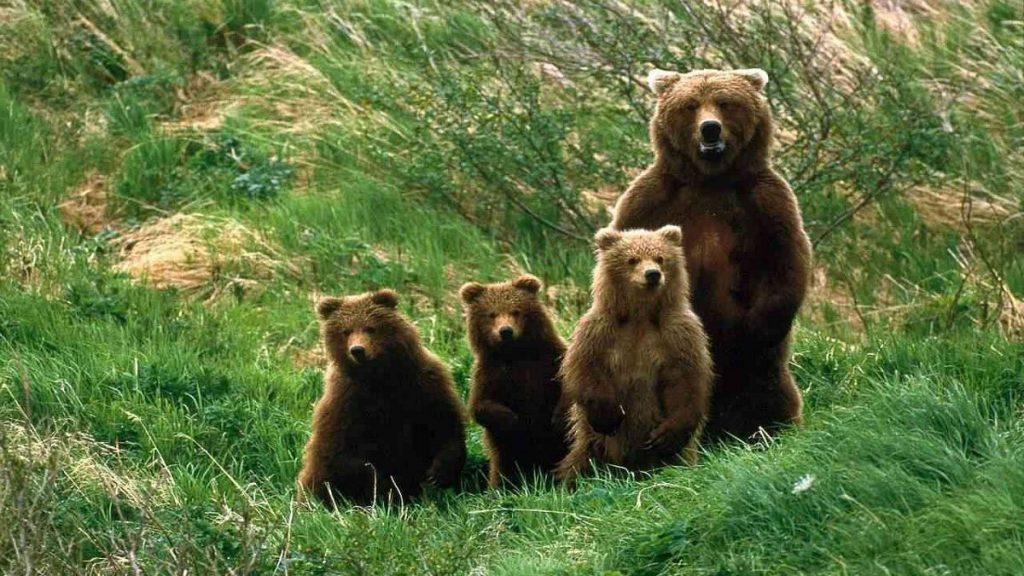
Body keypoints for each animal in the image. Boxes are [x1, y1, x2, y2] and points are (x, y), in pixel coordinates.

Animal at [296, 289, 468, 504]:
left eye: (370, 328)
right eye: (346, 331)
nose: (357, 350)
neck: (380, 377)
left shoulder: (424, 383)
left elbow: (443, 423)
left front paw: (439, 473)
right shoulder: (346, 400)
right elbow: (341, 449)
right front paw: (386, 488)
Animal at [460, 272, 573, 483]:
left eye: (516, 311)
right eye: (491, 314)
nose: (505, 331)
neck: (515, 353)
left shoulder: (550, 360)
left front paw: (557, 419)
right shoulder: (490, 373)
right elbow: (481, 405)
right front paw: (514, 421)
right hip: (505, 458)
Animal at [561, 223, 712, 479]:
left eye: (660, 258)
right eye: (632, 259)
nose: (652, 274)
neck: (640, 315)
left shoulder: (678, 334)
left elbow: (687, 379)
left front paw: (667, 436)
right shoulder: (600, 331)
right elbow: (585, 368)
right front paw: (608, 414)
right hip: (592, 443)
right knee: (579, 463)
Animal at [610, 69, 811, 440]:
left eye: (725, 102)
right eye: (691, 105)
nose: (710, 129)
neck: (710, 180)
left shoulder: (765, 201)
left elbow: (785, 259)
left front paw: (758, 329)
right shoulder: (650, 200)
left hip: (760, 374)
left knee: (768, 393)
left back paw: (768, 428)